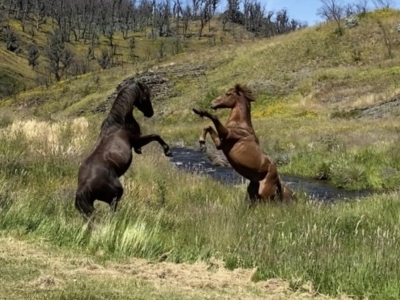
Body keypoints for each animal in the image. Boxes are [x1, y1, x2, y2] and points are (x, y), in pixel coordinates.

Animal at [76, 81, 173, 219]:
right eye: (145, 96)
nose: (150, 113)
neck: (120, 121)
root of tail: (84, 186)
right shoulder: (136, 140)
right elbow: (155, 136)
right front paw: (167, 151)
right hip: (116, 193)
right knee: (112, 210)